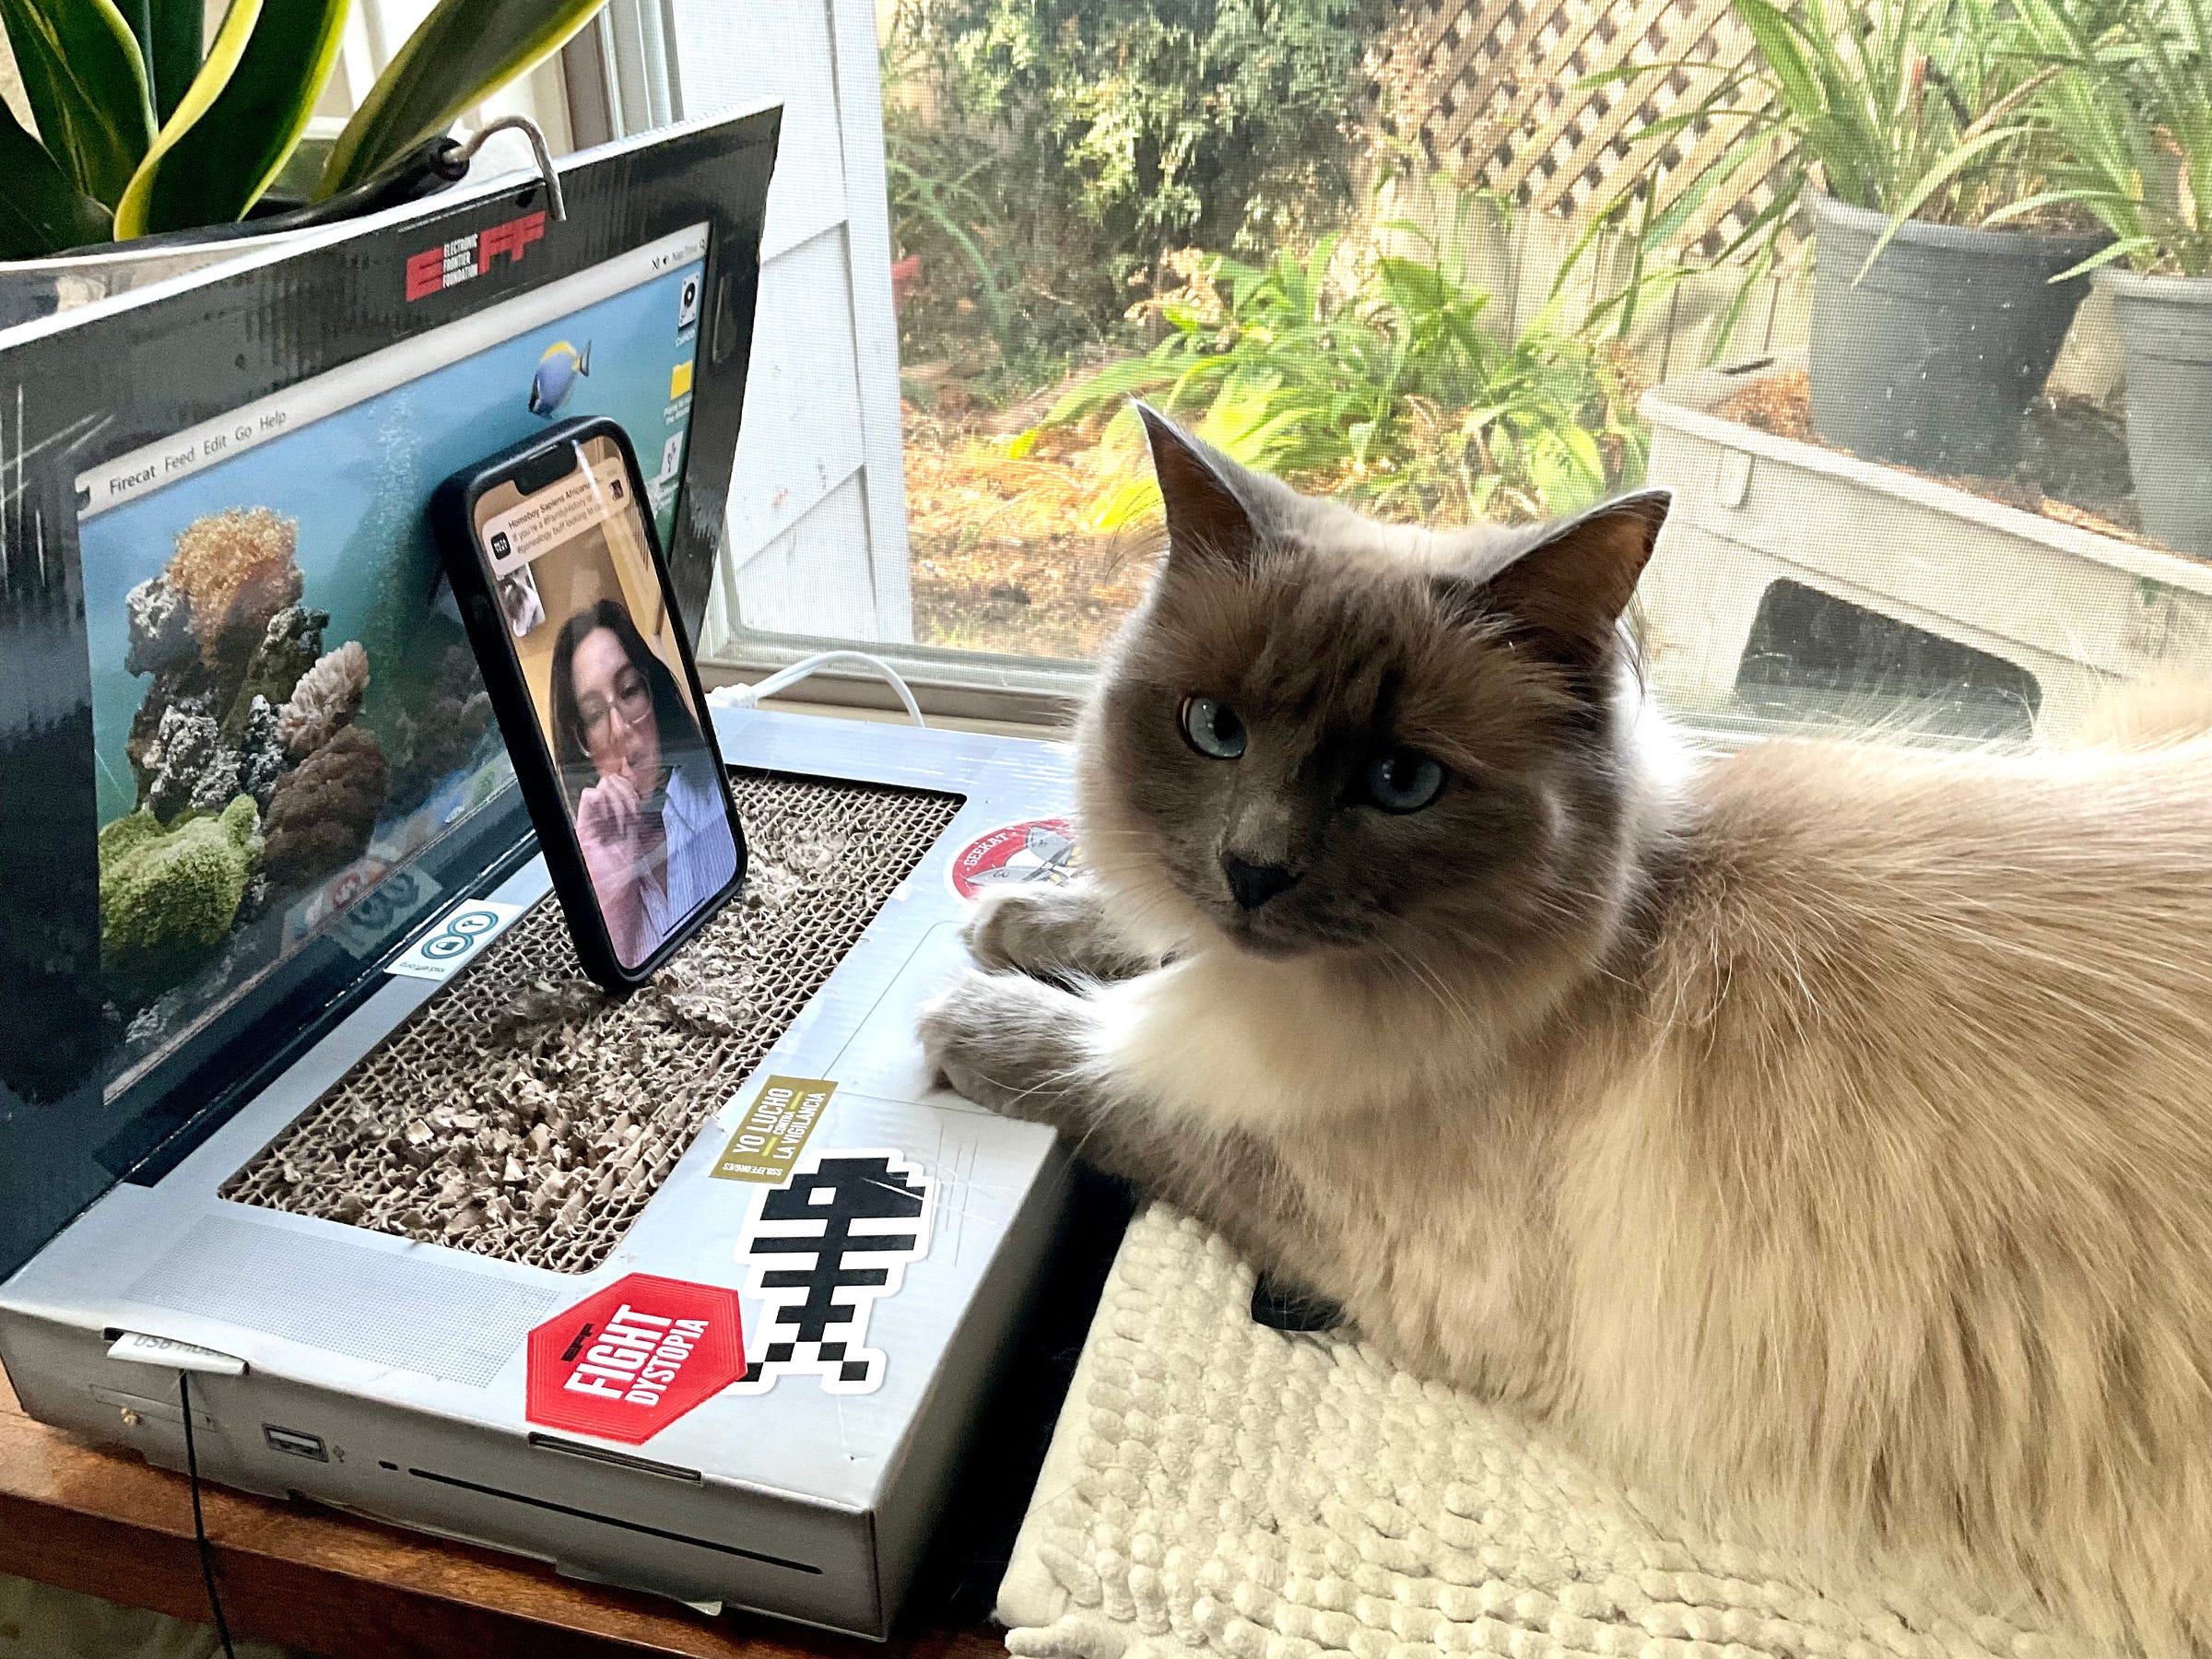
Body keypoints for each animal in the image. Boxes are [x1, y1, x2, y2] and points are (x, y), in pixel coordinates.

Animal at [920, 409, 2212, 1654]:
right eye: (1213, 731)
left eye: (1400, 782)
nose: (1253, 871)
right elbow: (1140, 953)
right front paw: (1018, 921)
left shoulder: (1379, 1237)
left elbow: (1124, 1084)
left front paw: (970, 1013)